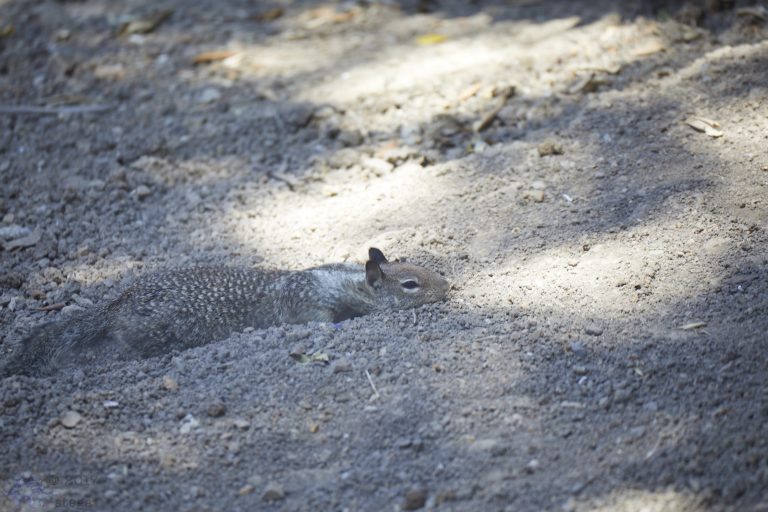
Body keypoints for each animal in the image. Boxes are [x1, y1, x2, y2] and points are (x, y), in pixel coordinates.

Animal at [2, 248, 449, 377]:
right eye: (410, 284)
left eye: (418, 267)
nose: (448, 286)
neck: (345, 281)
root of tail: (116, 303)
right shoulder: (311, 307)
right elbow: (320, 323)